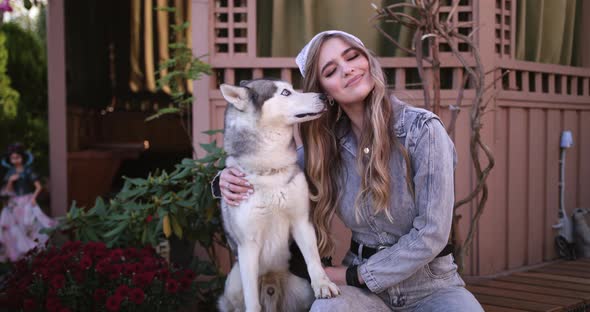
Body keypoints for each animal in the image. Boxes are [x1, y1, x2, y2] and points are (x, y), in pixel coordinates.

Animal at [219, 80, 340, 312]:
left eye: (291, 88)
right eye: (285, 92)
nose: (324, 96)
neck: (269, 170)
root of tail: (270, 282)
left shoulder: (302, 221)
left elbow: (313, 259)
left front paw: (323, 284)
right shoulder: (248, 245)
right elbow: (252, 300)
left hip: (300, 288)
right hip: (234, 281)